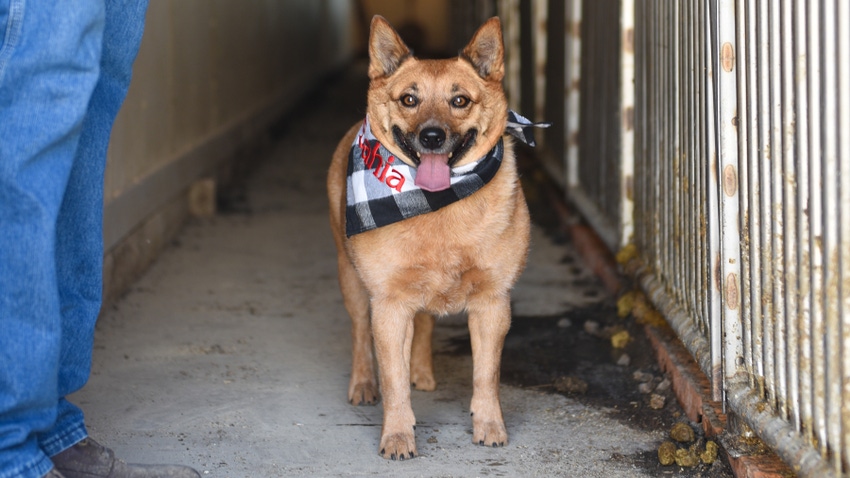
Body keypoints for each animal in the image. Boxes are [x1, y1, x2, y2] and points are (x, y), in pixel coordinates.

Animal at [326, 16, 528, 462]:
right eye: (409, 99)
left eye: (460, 101)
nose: (432, 137)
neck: (436, 206)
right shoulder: (388, 305)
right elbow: (393, 381)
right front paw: (398, 435)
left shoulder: (492, 304)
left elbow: (487, 374)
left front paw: (490, 426)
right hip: (351, 280)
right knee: (360, 335)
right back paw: (363, 384)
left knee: (424, 324)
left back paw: (421, 371)